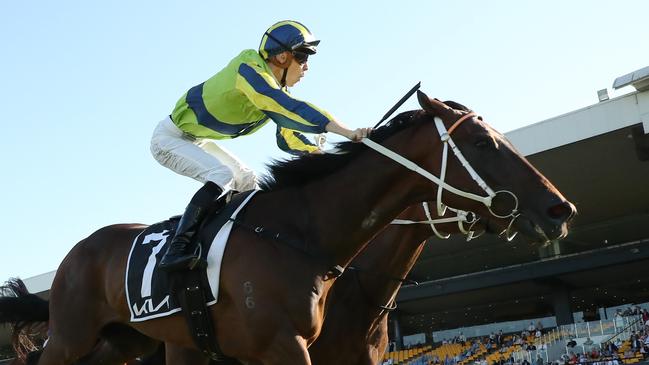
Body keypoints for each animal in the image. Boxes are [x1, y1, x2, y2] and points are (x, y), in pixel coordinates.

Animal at [3, 93, 572, 364]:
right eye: (482, 143)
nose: (558, 209)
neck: (304, 235)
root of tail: (77, 251)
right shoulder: (283, 346)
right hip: (70, 336)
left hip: (132, 342)